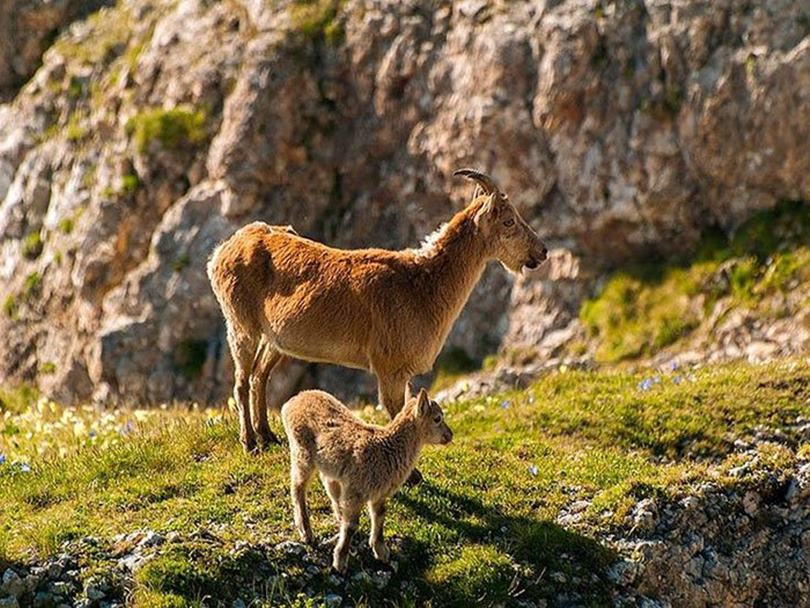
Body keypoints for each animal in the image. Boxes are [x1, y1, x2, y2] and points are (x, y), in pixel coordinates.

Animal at [208, 169, 548, 454]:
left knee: (259, 376)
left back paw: (268, 436)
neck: (422, 286)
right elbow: (397, 412)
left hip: (276, 338)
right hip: (240, 325)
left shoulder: (403, 372)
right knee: (241, 381)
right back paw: (250, 442)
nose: (541, 251)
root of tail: (222, 251)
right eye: (509, 221)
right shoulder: (389, 367)